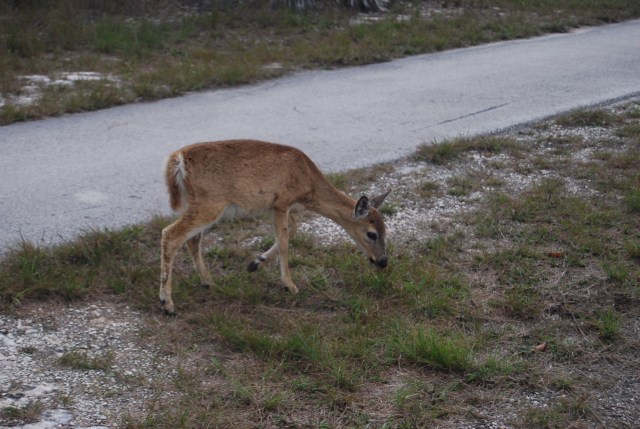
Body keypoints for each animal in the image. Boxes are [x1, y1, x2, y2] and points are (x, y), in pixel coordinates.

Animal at [159, 139, 390, 315]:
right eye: (371, 234)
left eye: (385, 230)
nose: (383, 261)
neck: (309, 184)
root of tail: (178, 159)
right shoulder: (282, 202)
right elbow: (285, 242)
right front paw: (290, 285)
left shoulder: (279, 207)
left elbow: (291, 231)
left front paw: (255, 263)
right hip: (210, 203)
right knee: (170, 234)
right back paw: (167, 303)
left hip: (198, 204)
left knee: (191, 239)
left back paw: (208, 282)